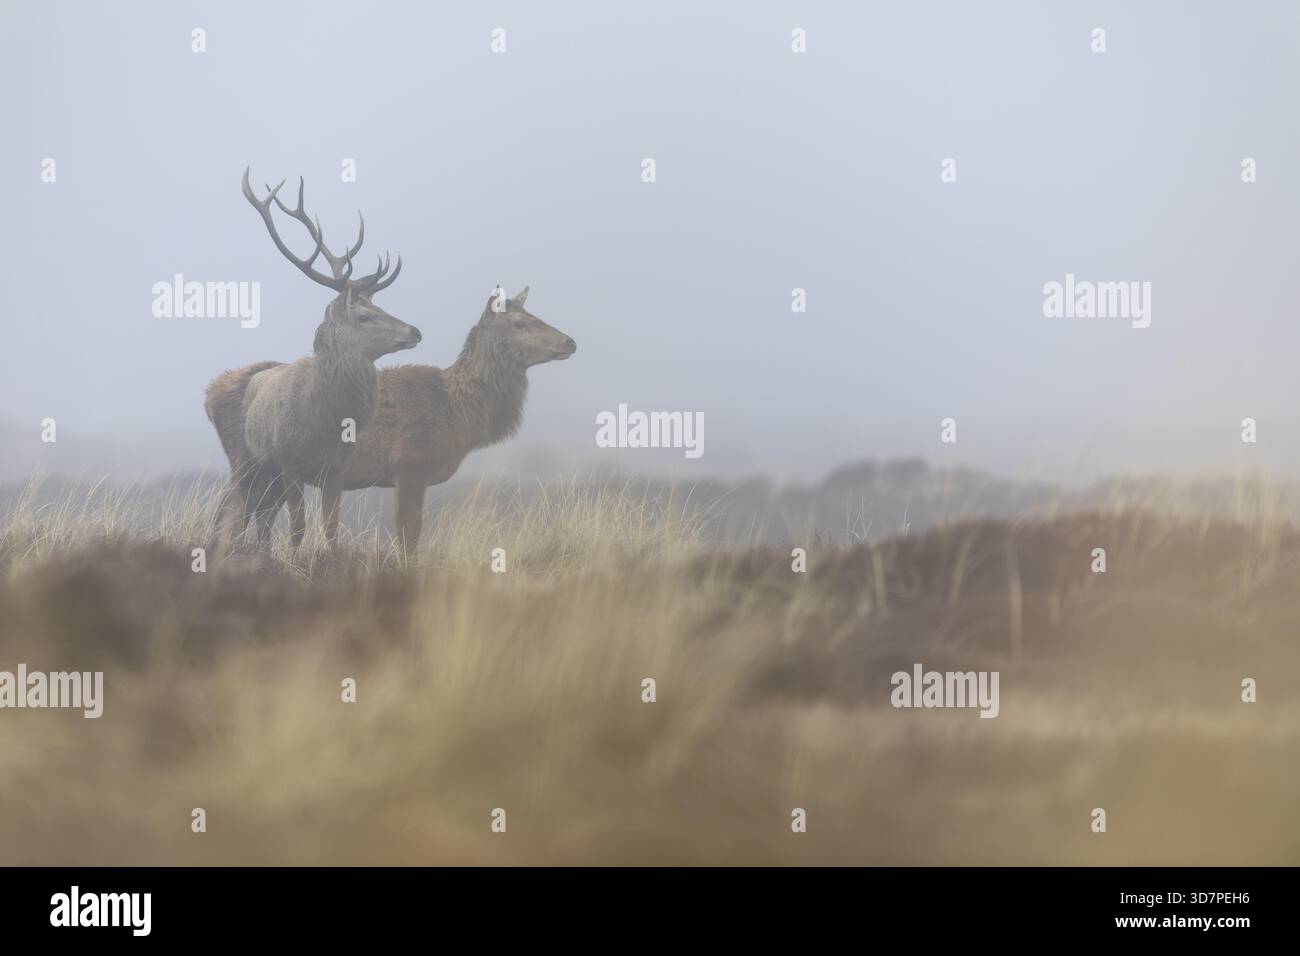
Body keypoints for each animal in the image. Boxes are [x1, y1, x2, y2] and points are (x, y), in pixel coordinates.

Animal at [206, 168, 422, 552]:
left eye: (379, 307)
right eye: (364, 316)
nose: (414, 331)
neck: (325, 423)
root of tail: (207, 395)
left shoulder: (337, 469)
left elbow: (331, 529)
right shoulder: (291, 463)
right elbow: (298, 528)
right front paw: (295, 560)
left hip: (267, 475)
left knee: (258, 519)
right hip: (243, 460)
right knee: (231, 512)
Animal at [206, 285, 576, 554]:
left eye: (532, 314)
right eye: (520, 323)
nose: (570, 342)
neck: (458, 416)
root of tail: (209, 393)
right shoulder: (409, 464)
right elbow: (408, 537)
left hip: (273, 473)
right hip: (246, 460)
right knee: (229, 510)